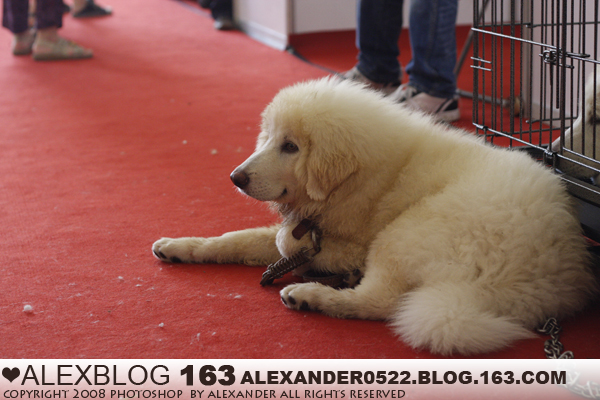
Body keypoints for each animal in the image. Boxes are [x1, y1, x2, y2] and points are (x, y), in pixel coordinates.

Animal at [153, 78, 596, 355]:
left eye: (291, 147)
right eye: (269, 138)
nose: (236, 177)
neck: (360, 178)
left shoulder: (346, 243)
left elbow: (282, 241)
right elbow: (237, 238)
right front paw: (179, 246)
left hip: (405, 232)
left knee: (379, 302)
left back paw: (311, 296)